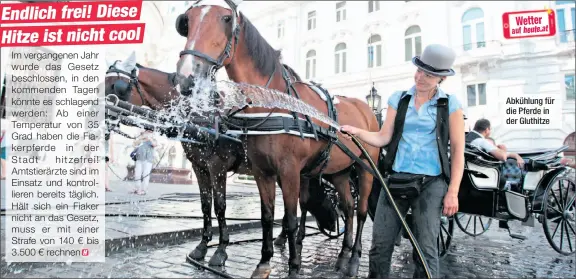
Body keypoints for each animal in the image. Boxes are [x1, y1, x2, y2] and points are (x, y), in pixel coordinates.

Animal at [103, 53, 294, 268]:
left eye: (115, 86)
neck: (199, 114)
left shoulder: (217, 167)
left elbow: (220, 206)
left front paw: (220, 250)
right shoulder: (199, 167)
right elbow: (205, 204)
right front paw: (202, 246)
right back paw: (282, 238)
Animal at [174, 1, 382, 278]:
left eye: (227, 20)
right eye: (188, 22)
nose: (186, 75)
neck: (273, 104)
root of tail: (367, 110)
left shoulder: (289, 171)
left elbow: (291, 218)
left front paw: (293, 266)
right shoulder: (262, 172)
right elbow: (267, 216)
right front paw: (264, 262)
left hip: (365, 168)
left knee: (360, 212)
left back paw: (355, 259)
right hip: (339, 171)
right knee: (347, 208)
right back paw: (342, 255)